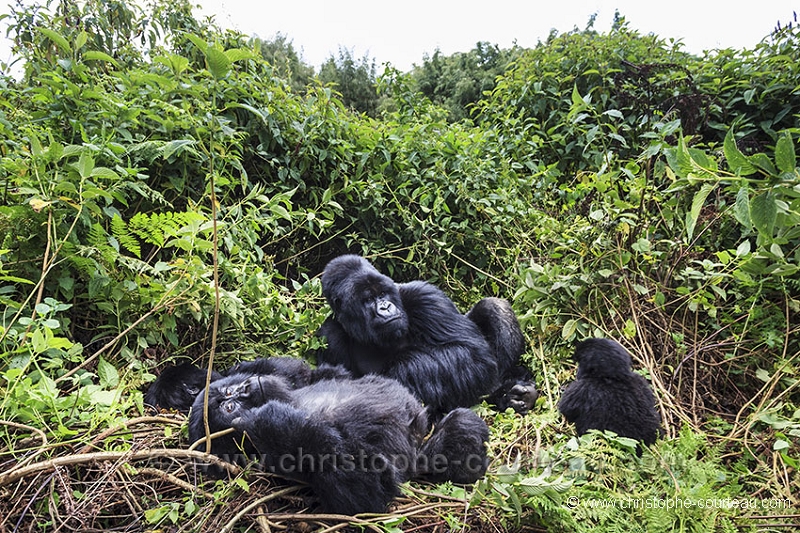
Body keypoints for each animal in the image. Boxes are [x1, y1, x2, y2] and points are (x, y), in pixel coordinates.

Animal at [188, 370, 490, 512]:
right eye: (229, 407)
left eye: (230, 390)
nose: (245, 387)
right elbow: (364, 491)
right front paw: (264, 419)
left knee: (460, 423)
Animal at [314, 254, 536, 416]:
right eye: (368, 299)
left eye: (382, 293)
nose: (385, 307)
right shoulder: (328, 337)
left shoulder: (424, 296)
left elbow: (472, 354)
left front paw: (399, 369)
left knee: (493, 307)